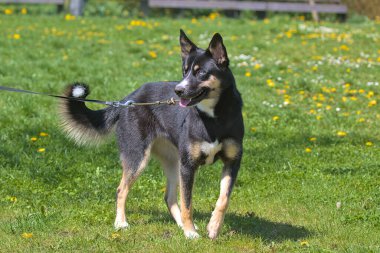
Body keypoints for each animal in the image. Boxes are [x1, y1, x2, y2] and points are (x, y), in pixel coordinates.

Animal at [59, 29, 243, 239]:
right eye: (184, 71)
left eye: (201, 73)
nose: (178, 90)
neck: (214, 118)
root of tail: (127, 100)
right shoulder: (188, 166)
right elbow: (187, 202)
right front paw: (191, 233)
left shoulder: (232, 162)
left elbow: (223, 199)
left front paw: (213, 227)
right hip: (139, 157)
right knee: (121, 189)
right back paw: (121, 223)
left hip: (174, 162)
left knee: (169, 197)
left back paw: (181, 225)